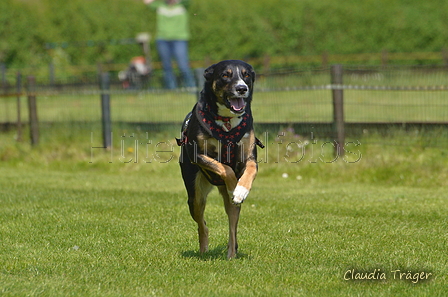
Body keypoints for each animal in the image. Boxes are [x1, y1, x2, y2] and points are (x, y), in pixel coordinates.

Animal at [178, 59, 262, 256]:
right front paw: (234, 187)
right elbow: (225, 168)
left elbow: (250, 170)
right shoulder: (198, 155)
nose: (242, 88)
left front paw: (240, 190)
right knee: (202, 225)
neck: (227, 121)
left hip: (230, 208)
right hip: (195, 197)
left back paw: (231, 254)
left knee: (232, 227)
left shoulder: (249, 156)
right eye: (225, 75)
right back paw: (204, 250)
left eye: (246, 75)